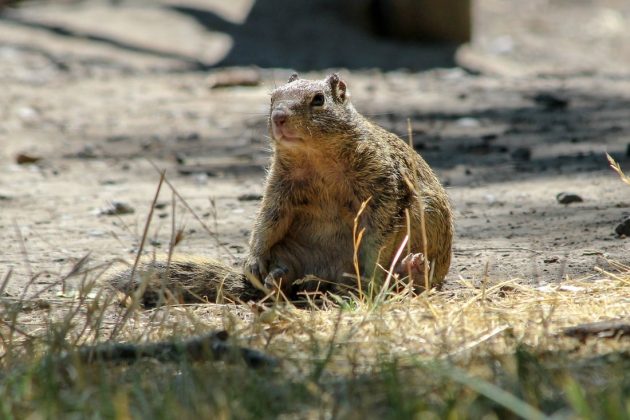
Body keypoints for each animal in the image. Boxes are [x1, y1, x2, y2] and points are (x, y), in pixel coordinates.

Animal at [110, 73, 454, 306]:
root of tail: (330, 279)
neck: (317, 158)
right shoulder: (280, 189)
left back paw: (410, 268)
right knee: (287, 281)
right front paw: (252, 260)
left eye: (319, 99)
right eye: (272, 97)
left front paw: (370, 268)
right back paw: (275, 279)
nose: (279, 117)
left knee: (412, 284)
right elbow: (267, 220)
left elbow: (379, 232)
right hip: (294, 254)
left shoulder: (385, 187)